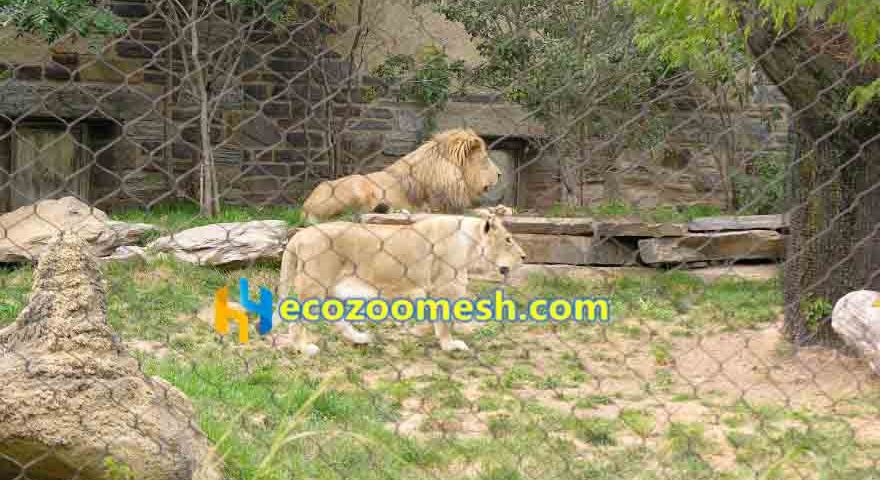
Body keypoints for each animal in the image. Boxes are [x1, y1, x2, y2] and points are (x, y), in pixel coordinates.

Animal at [274, 213, 527, 356]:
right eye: (508, 239)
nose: (524, 257)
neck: (472, 244)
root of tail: (299, 236)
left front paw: (423, 331)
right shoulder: (446, 286)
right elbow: (445, 320)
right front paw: (449, 344)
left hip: (331, 287)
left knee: (335, 317)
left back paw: (359, 338)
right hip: (315, 286)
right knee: (297, 319)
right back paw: (303, 348)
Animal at [301, 128, 501, 222]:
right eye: (485, 159)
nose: (500, 174)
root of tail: (305, 207)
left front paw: (500, 209)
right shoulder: (443, 207)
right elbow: (474, 211)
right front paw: (488, 212)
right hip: (359, 186)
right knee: (348, 216)